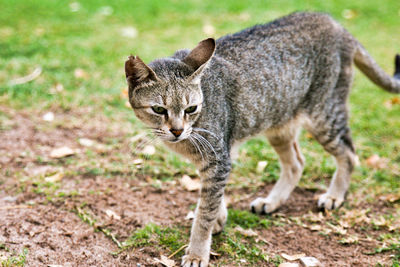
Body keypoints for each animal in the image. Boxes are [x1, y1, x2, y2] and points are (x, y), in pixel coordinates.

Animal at [123, 11, 398, 266]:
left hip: (324, 116)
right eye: (159, 110)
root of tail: (335, 23)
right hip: (280, 124)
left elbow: (205, 212)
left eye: (191, 109)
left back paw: (335, 196)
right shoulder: (219, 156)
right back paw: (272, 202)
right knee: (296, 163)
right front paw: (220, 218)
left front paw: (197, 252)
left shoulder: (218, 156)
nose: (177, 130)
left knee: (349, 154)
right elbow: (213, 198)